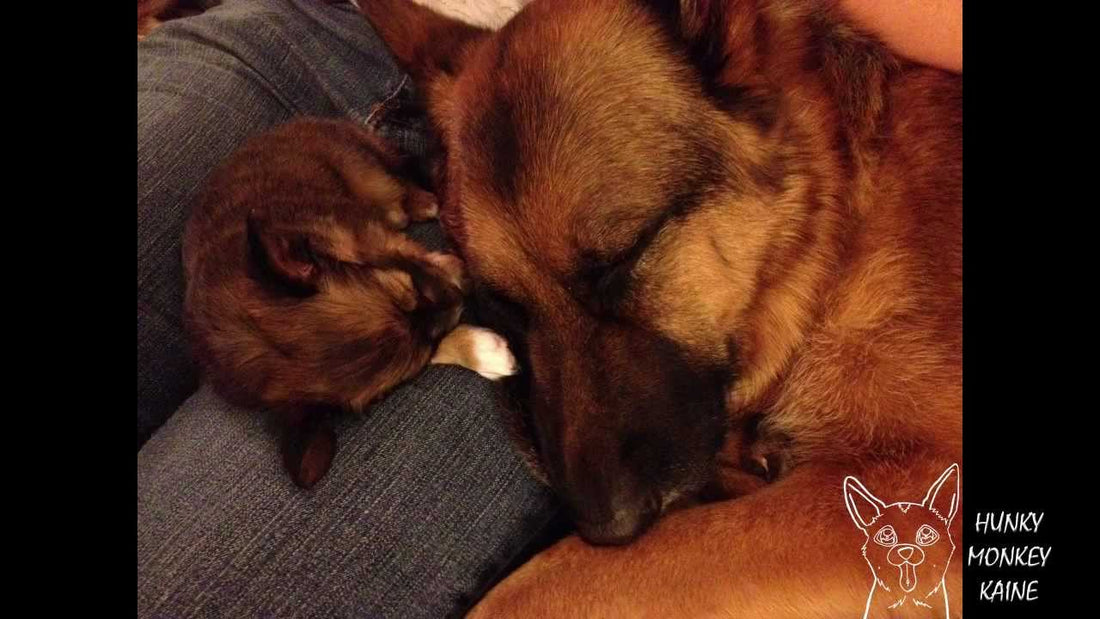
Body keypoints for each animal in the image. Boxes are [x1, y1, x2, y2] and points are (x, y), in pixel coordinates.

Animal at [182, 118, 517, 490]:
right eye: (420, 356)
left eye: (409, 288)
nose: (464, 291)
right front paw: (480, 348)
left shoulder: (364, 233)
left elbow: (405, 248)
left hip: (364, 167)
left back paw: (420, 200)